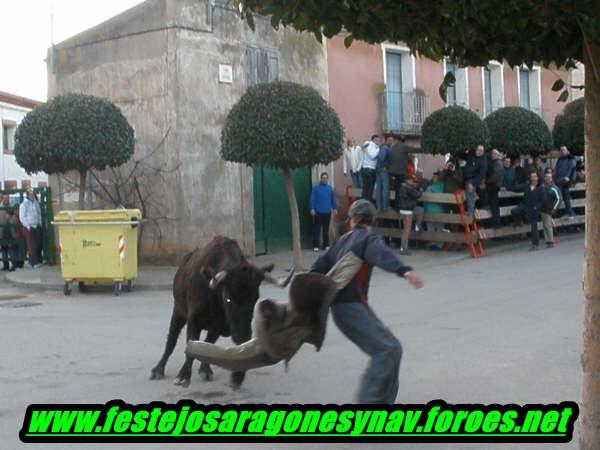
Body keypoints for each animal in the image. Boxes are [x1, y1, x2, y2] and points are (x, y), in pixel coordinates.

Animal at [150, 237, 290, 388]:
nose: (243, 337)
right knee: (171, 341)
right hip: (178, 311)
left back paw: (204, 369)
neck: (215, 295)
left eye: (255, 298)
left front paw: (204, 370)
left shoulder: (218, 327)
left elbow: (207, 347)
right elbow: (190, 348)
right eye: (228, 299)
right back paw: (158, 370)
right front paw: (183, 376)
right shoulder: (193, 320)